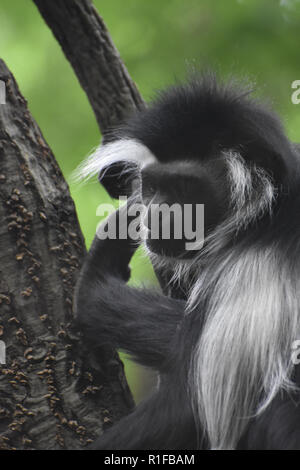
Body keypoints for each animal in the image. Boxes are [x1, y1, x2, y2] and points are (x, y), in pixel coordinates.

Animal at [74, 75, 300, 450]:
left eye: (184, 188)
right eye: (153, 185)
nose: (153, 214)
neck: (263, 211)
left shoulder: (251, 270)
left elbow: (189, 408)